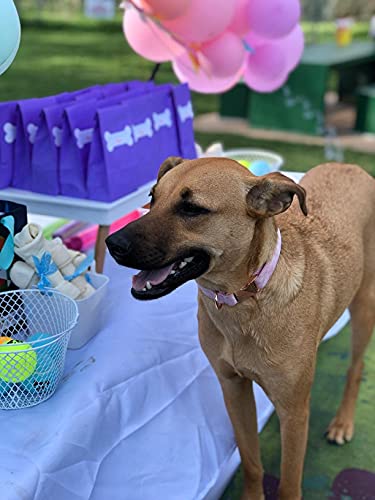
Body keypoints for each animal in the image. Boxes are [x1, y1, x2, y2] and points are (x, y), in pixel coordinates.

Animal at [106, 159, 375, 500]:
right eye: (152, 198)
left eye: (192, 208)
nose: (112, 244)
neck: (243, 300)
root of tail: (349, 165)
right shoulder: (233, 389)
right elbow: (250, 461)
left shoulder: (293, 412)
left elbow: (288, 484)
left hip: (364, 306)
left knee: (356, 367)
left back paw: (342, 423)